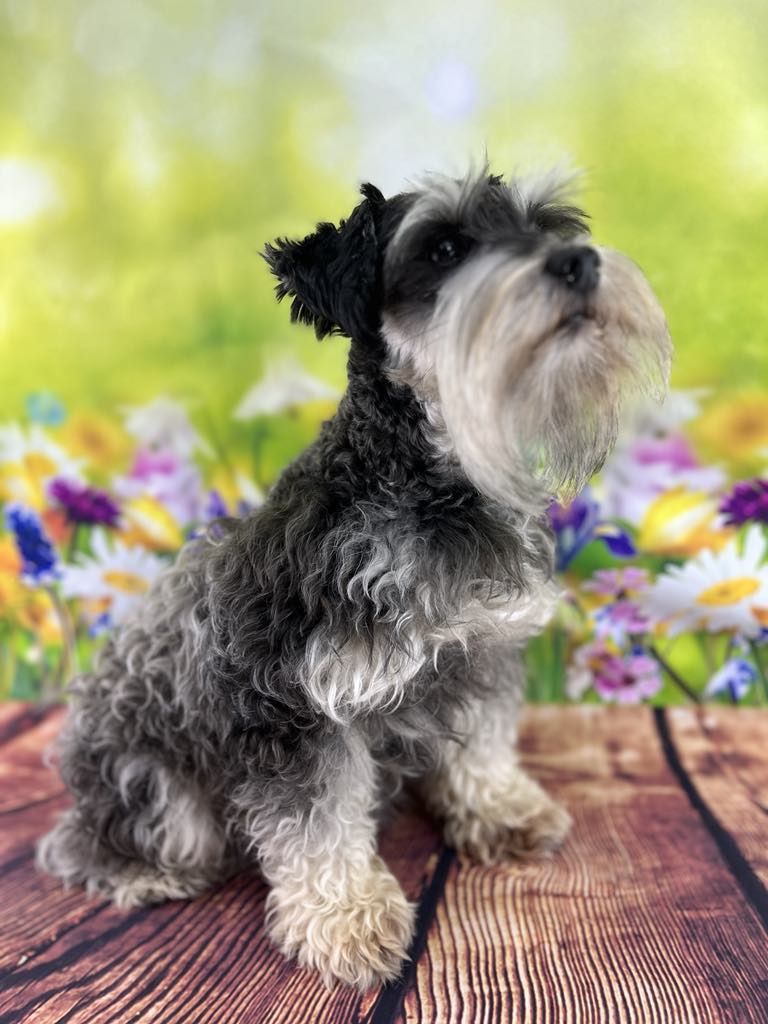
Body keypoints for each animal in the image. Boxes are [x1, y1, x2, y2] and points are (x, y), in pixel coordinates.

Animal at [38, 166, 671, 989]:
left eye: (549, 227)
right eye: (444, 247)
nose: (580, 263)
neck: (431, 490)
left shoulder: (480, 655)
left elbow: (484, 747)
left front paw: (502, 811)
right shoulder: (298, 706)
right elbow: (319, 824)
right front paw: (349, 920)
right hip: (151, 786)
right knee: (90, 840)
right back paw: (140, 872)